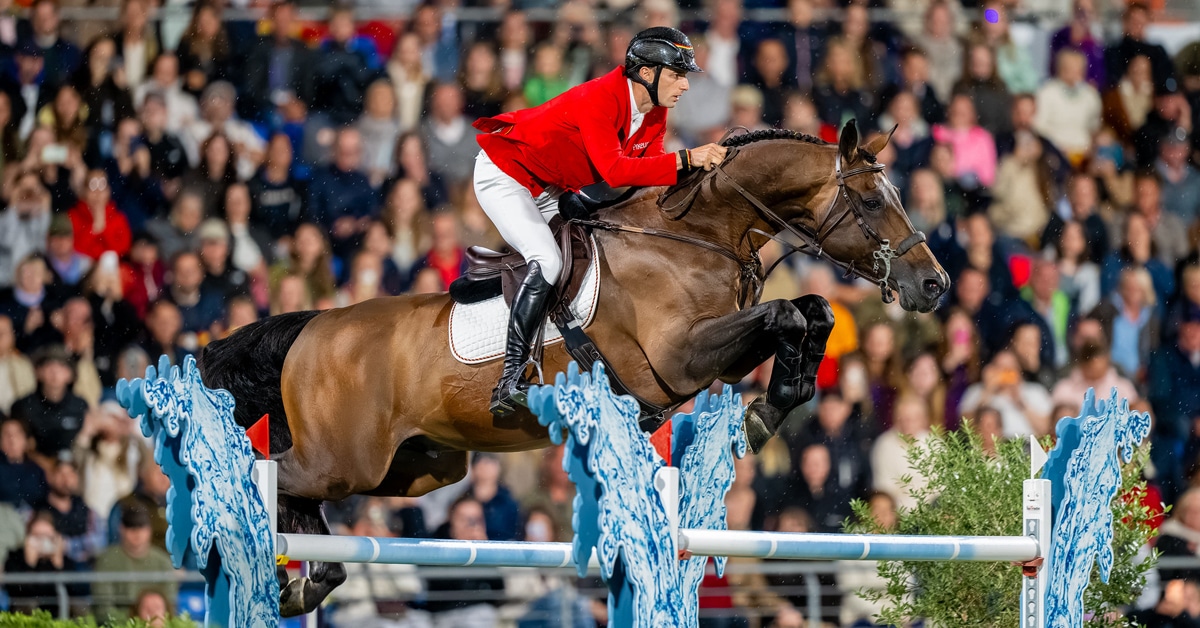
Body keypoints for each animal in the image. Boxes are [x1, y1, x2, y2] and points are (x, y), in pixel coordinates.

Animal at [197, 120, 950, 615]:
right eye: (873, 201)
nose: (935, 285)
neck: (696, 235)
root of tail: (313, 326)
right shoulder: (678, 358)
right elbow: (788, 315)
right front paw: (765, 415)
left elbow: (810, 309)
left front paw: (774, 404)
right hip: (345, 458)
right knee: (274, 477)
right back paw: (268, 566)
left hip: (417, 468)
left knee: (307, 496)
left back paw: (305, 581)